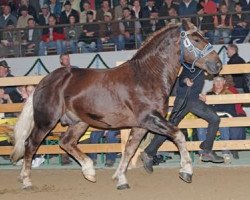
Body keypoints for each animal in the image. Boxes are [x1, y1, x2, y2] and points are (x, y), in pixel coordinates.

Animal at [10, 19, 222, 190]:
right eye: (196, 39)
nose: (218, 64)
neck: (146, 76)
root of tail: (45, 80)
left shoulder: (141, 125)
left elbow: (129, 150)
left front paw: (121, 179)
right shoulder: (150, 119)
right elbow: (178, 135)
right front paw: (186, 171)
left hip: (80, 122)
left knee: (66, 142)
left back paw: (89, 171)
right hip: (46, 121)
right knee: (31, 144)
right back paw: (26, 181)